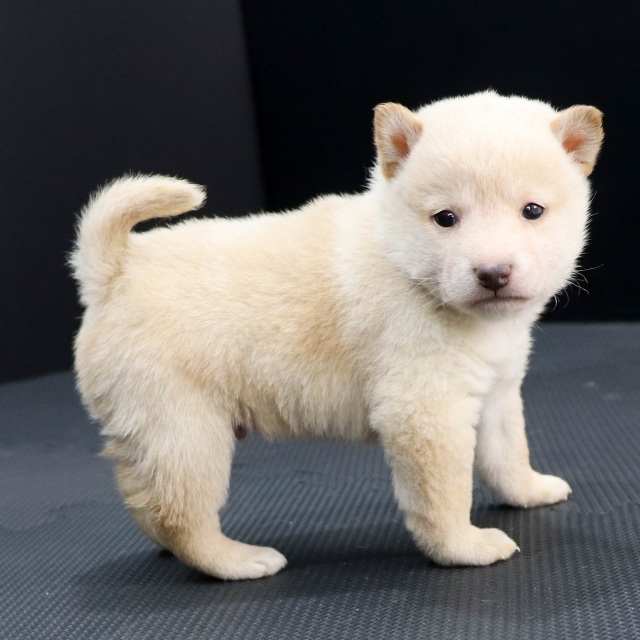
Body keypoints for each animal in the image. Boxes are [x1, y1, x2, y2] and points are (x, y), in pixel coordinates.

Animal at [71, 91, 603, 580]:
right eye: (446, 218)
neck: (404, 264)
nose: (493, 273)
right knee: (181, 516)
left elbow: (507, 453)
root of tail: (116, 271)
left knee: (149, 504)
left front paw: (530, 491)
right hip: (185, 432)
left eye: (532, 211)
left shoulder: (497, 392)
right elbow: (446, 493)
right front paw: (463, 547)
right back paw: (240, 560)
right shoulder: (427, 411)